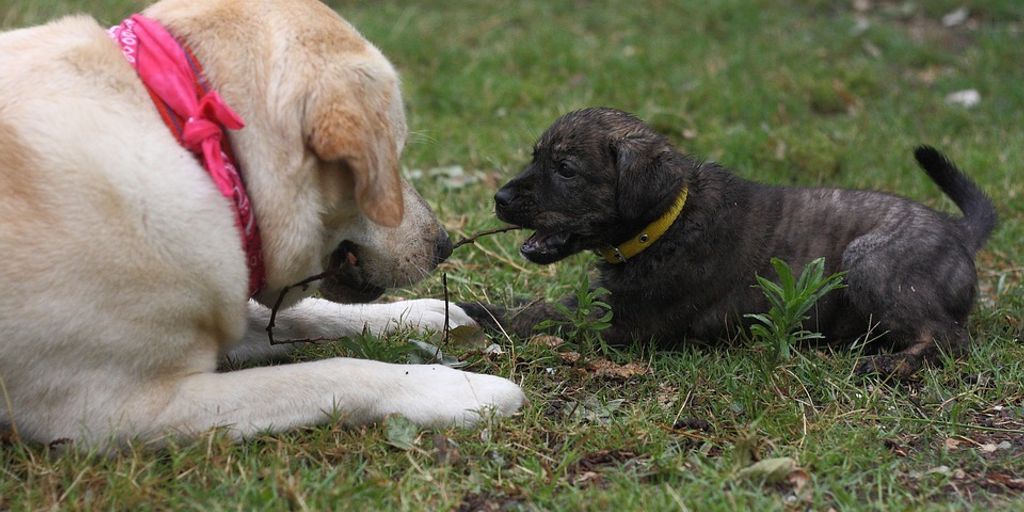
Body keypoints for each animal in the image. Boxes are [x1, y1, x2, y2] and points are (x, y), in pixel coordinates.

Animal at [0, 0, 524, 448]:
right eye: (392, 158)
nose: (444, 245)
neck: (192, 135)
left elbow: (303, 314)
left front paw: (421, 314)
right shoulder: (120, 408)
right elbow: (334, 371)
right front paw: (460, 391)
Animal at [468, 107, 995, 376]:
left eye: (565, 169)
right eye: (536, 157)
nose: (499, 198)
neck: (667, 222)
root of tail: (959, 231)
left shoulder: (619, 319)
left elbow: (541, 313)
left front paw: (480, 313)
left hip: (870, 262)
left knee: (949, 337)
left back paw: (889, 364)